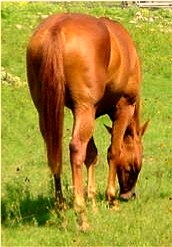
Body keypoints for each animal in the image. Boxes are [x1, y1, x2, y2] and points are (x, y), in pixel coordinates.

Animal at [26, 13, 148, 230]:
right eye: (138, 160)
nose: (129, 195)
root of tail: (57, 28)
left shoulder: (90, 111)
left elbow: (92, 154)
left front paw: (93, 201)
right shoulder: (123, 108)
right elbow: (113, 152)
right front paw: (111, 199)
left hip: (49, 109)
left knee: (54, 153)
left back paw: (62, 210)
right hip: (85, 108)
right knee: (76, 149)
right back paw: (81, 214)